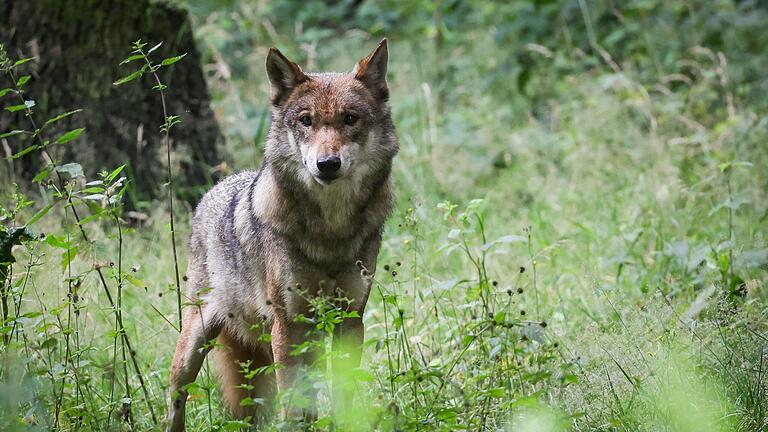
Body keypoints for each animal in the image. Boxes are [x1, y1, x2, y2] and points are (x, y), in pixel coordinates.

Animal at [164, 38, 400, 430]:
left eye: (350, 119)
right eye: (306, 121)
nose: (327, 164)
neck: (330, 231)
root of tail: (214, 190)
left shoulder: (350, 320)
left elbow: (343, 397)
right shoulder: (288, 326)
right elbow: (294, 405)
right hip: (194, 345)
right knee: (175, 397)